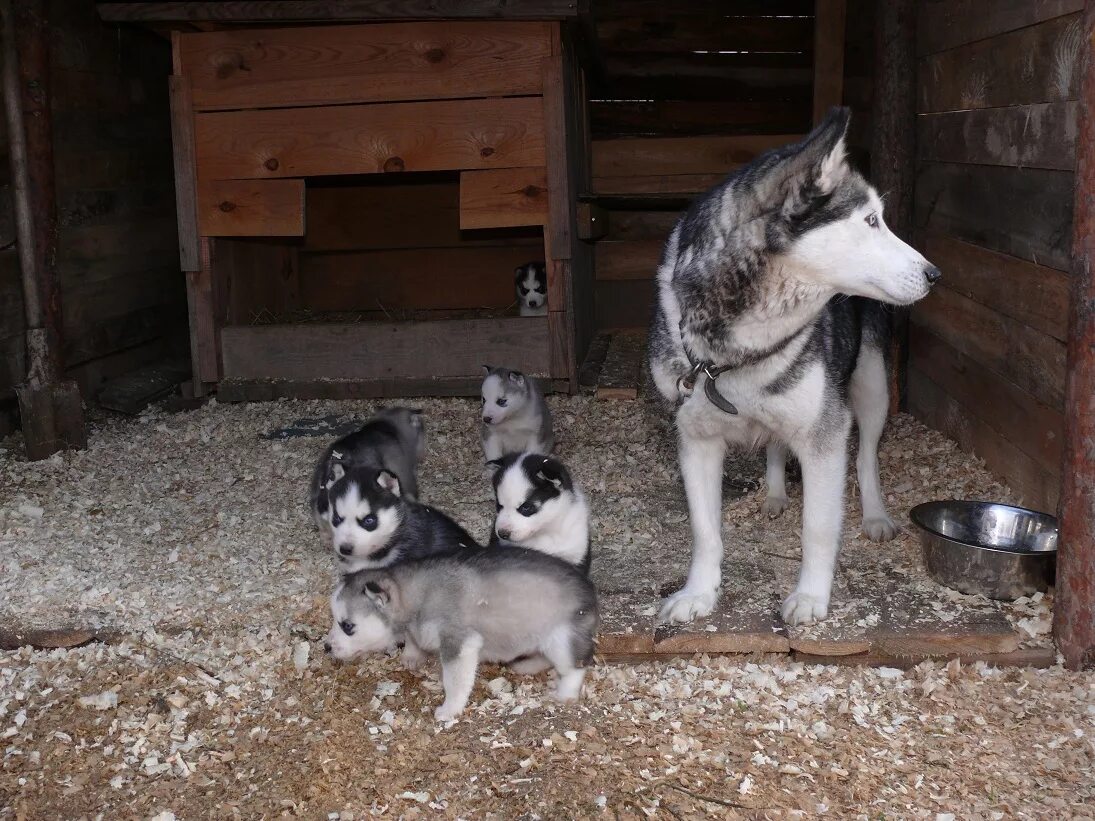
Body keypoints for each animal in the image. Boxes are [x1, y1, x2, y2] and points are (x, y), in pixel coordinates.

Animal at [324, 553, 600, 718]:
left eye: (347, 626)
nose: (326, 647)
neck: (415, 595)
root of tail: (589, 588)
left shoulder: (459, 643)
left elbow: (455, 682)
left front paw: (449, 710)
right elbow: (414, 640)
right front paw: (412, 656)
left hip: (560, 639)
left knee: (575, 667)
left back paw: (565, 693)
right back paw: (526, 666)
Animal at [648, 107, 941, 621]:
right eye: (870, 221)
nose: (934, 274)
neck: (735, 352)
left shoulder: (824, 434)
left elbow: (818, 529)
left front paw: (810, 597)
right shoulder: (696, 439)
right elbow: (705, 531)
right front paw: (699, 592)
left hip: (871, 388)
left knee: (865, 456)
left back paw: (875, 513)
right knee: (775, 445)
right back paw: (774, 493)